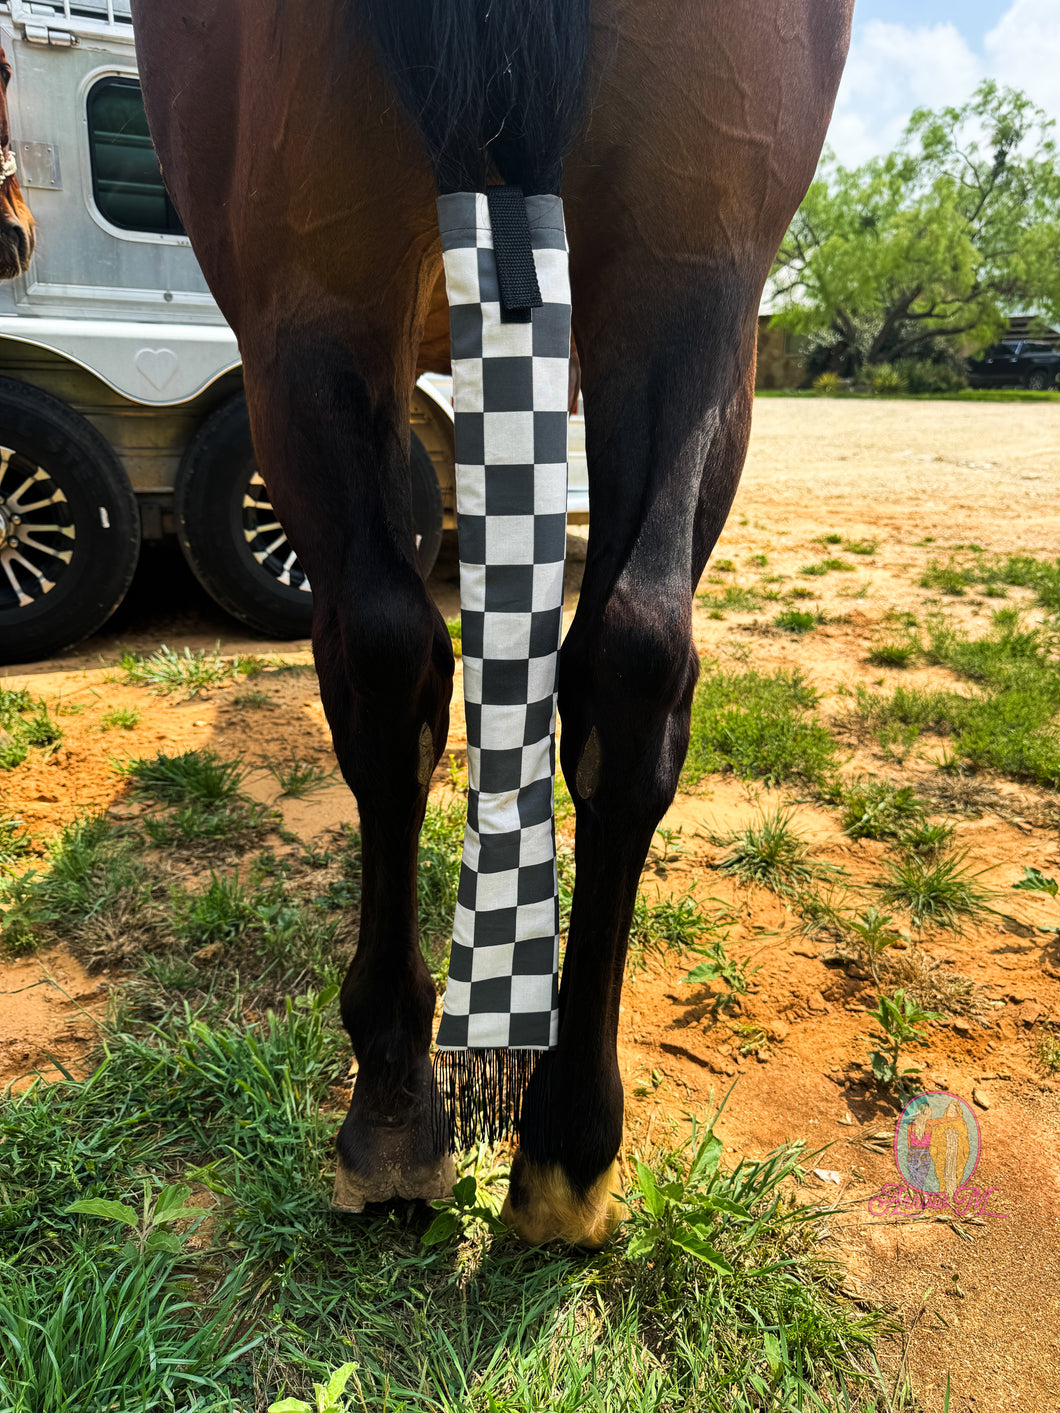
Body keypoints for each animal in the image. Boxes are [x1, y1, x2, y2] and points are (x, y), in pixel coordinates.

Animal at [130, 0, 853, 1249]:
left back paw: (393, 1105)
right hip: (694, 276)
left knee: (390, 663)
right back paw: (567, 1142)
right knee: (632, 655)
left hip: (308, 297)